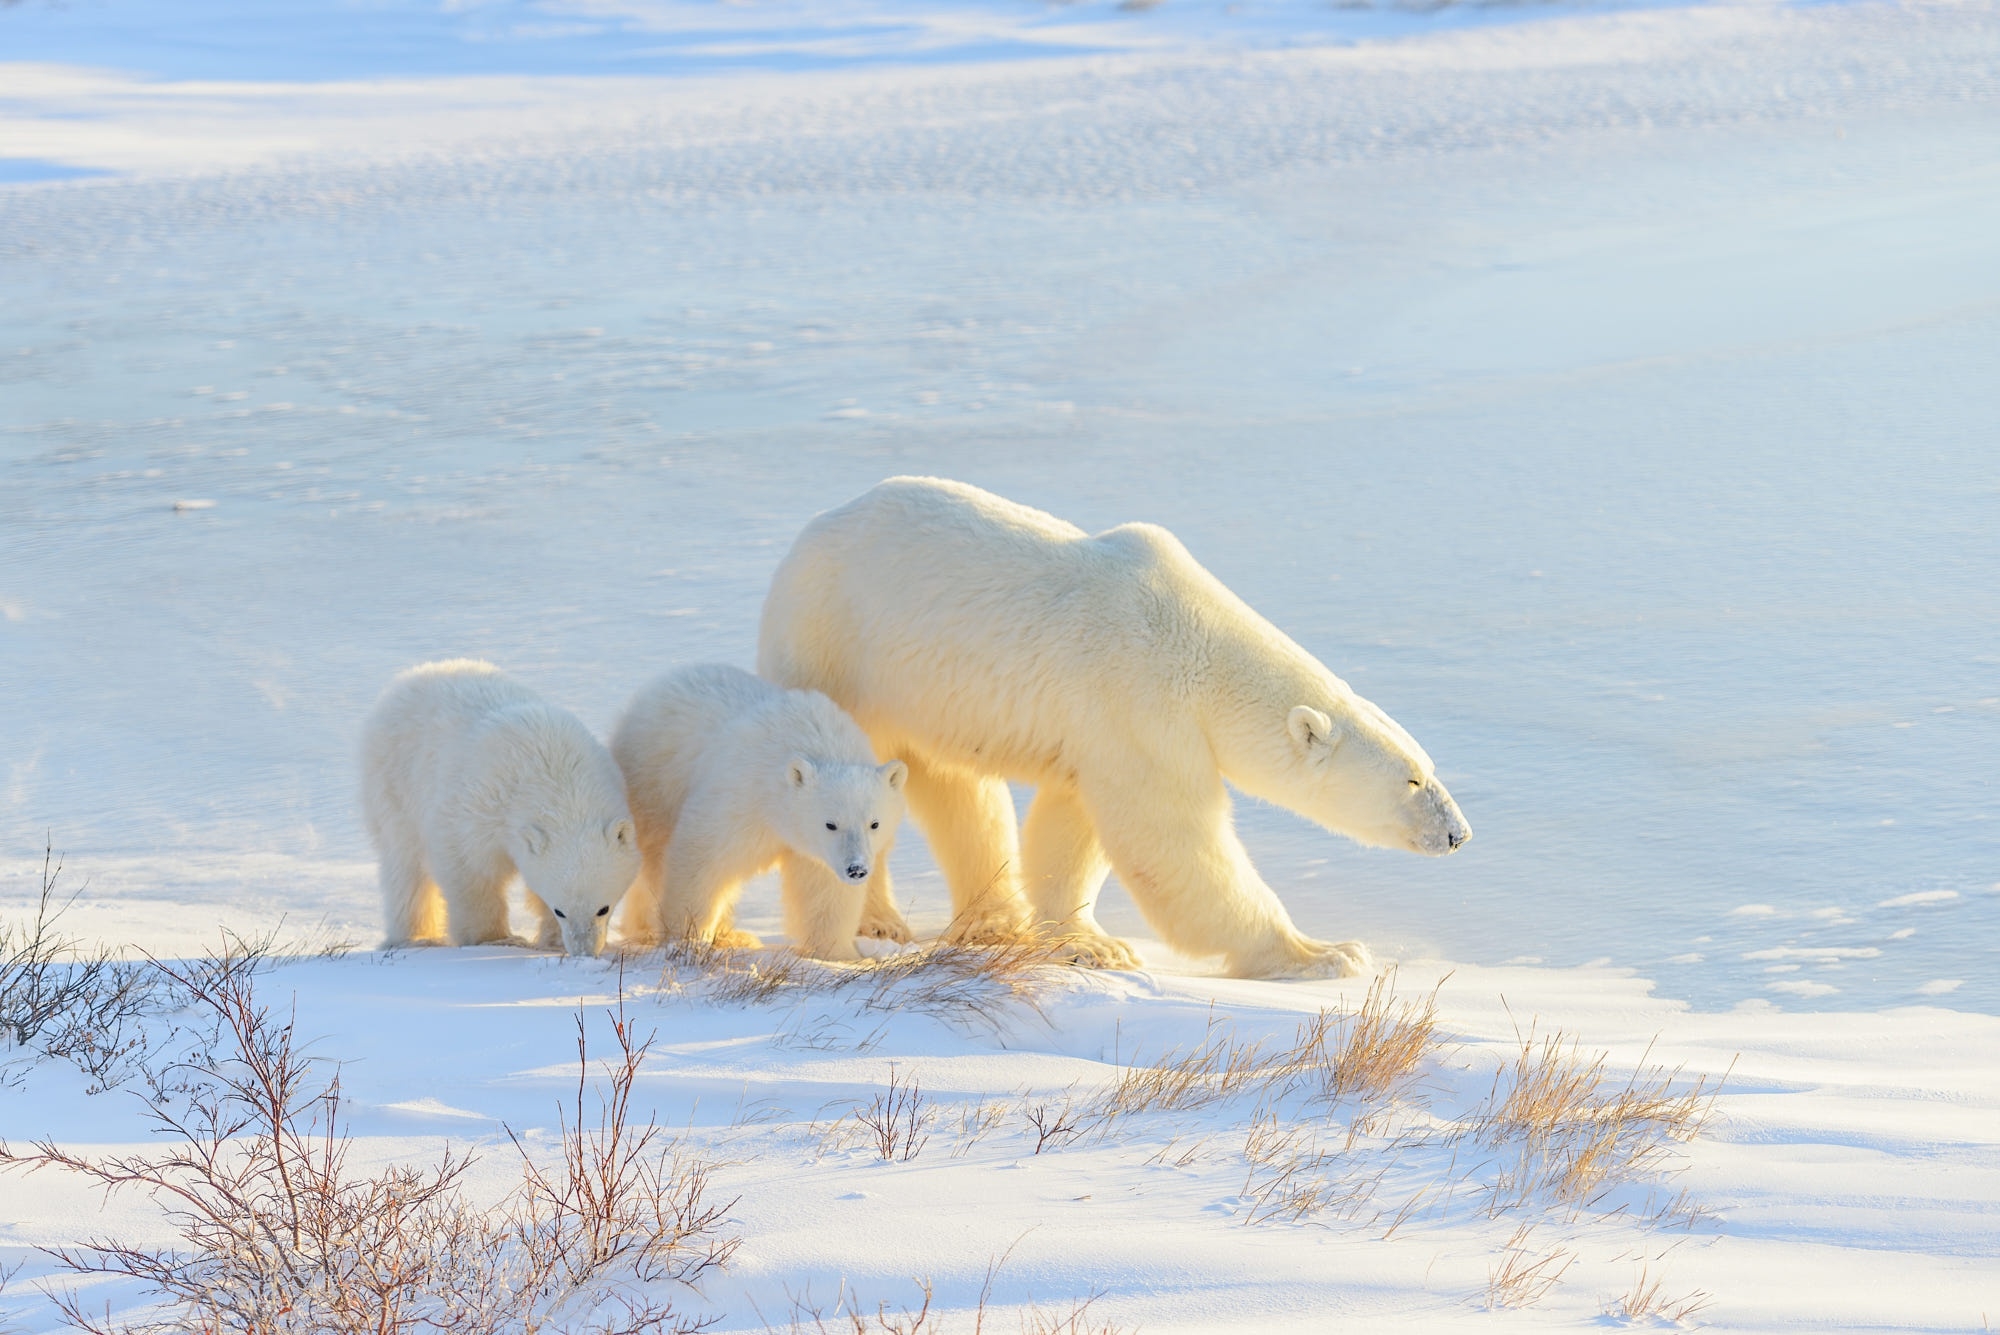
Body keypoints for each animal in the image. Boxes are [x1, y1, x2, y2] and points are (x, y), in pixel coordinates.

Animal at [760, 473, 1472, 975]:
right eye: (1412, 780)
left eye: (1429, 767)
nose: (1459, 834)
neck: (1202, 648)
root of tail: (808, 533)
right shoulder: (1140, 703)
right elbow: (1172, 840)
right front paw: (1324, 952)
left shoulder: (1101, 730)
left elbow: (1072, 826)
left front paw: (1089, 943)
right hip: (838, 649)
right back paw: (878, 921)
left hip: (928, 692)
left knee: (959, 789)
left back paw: (993, 920)